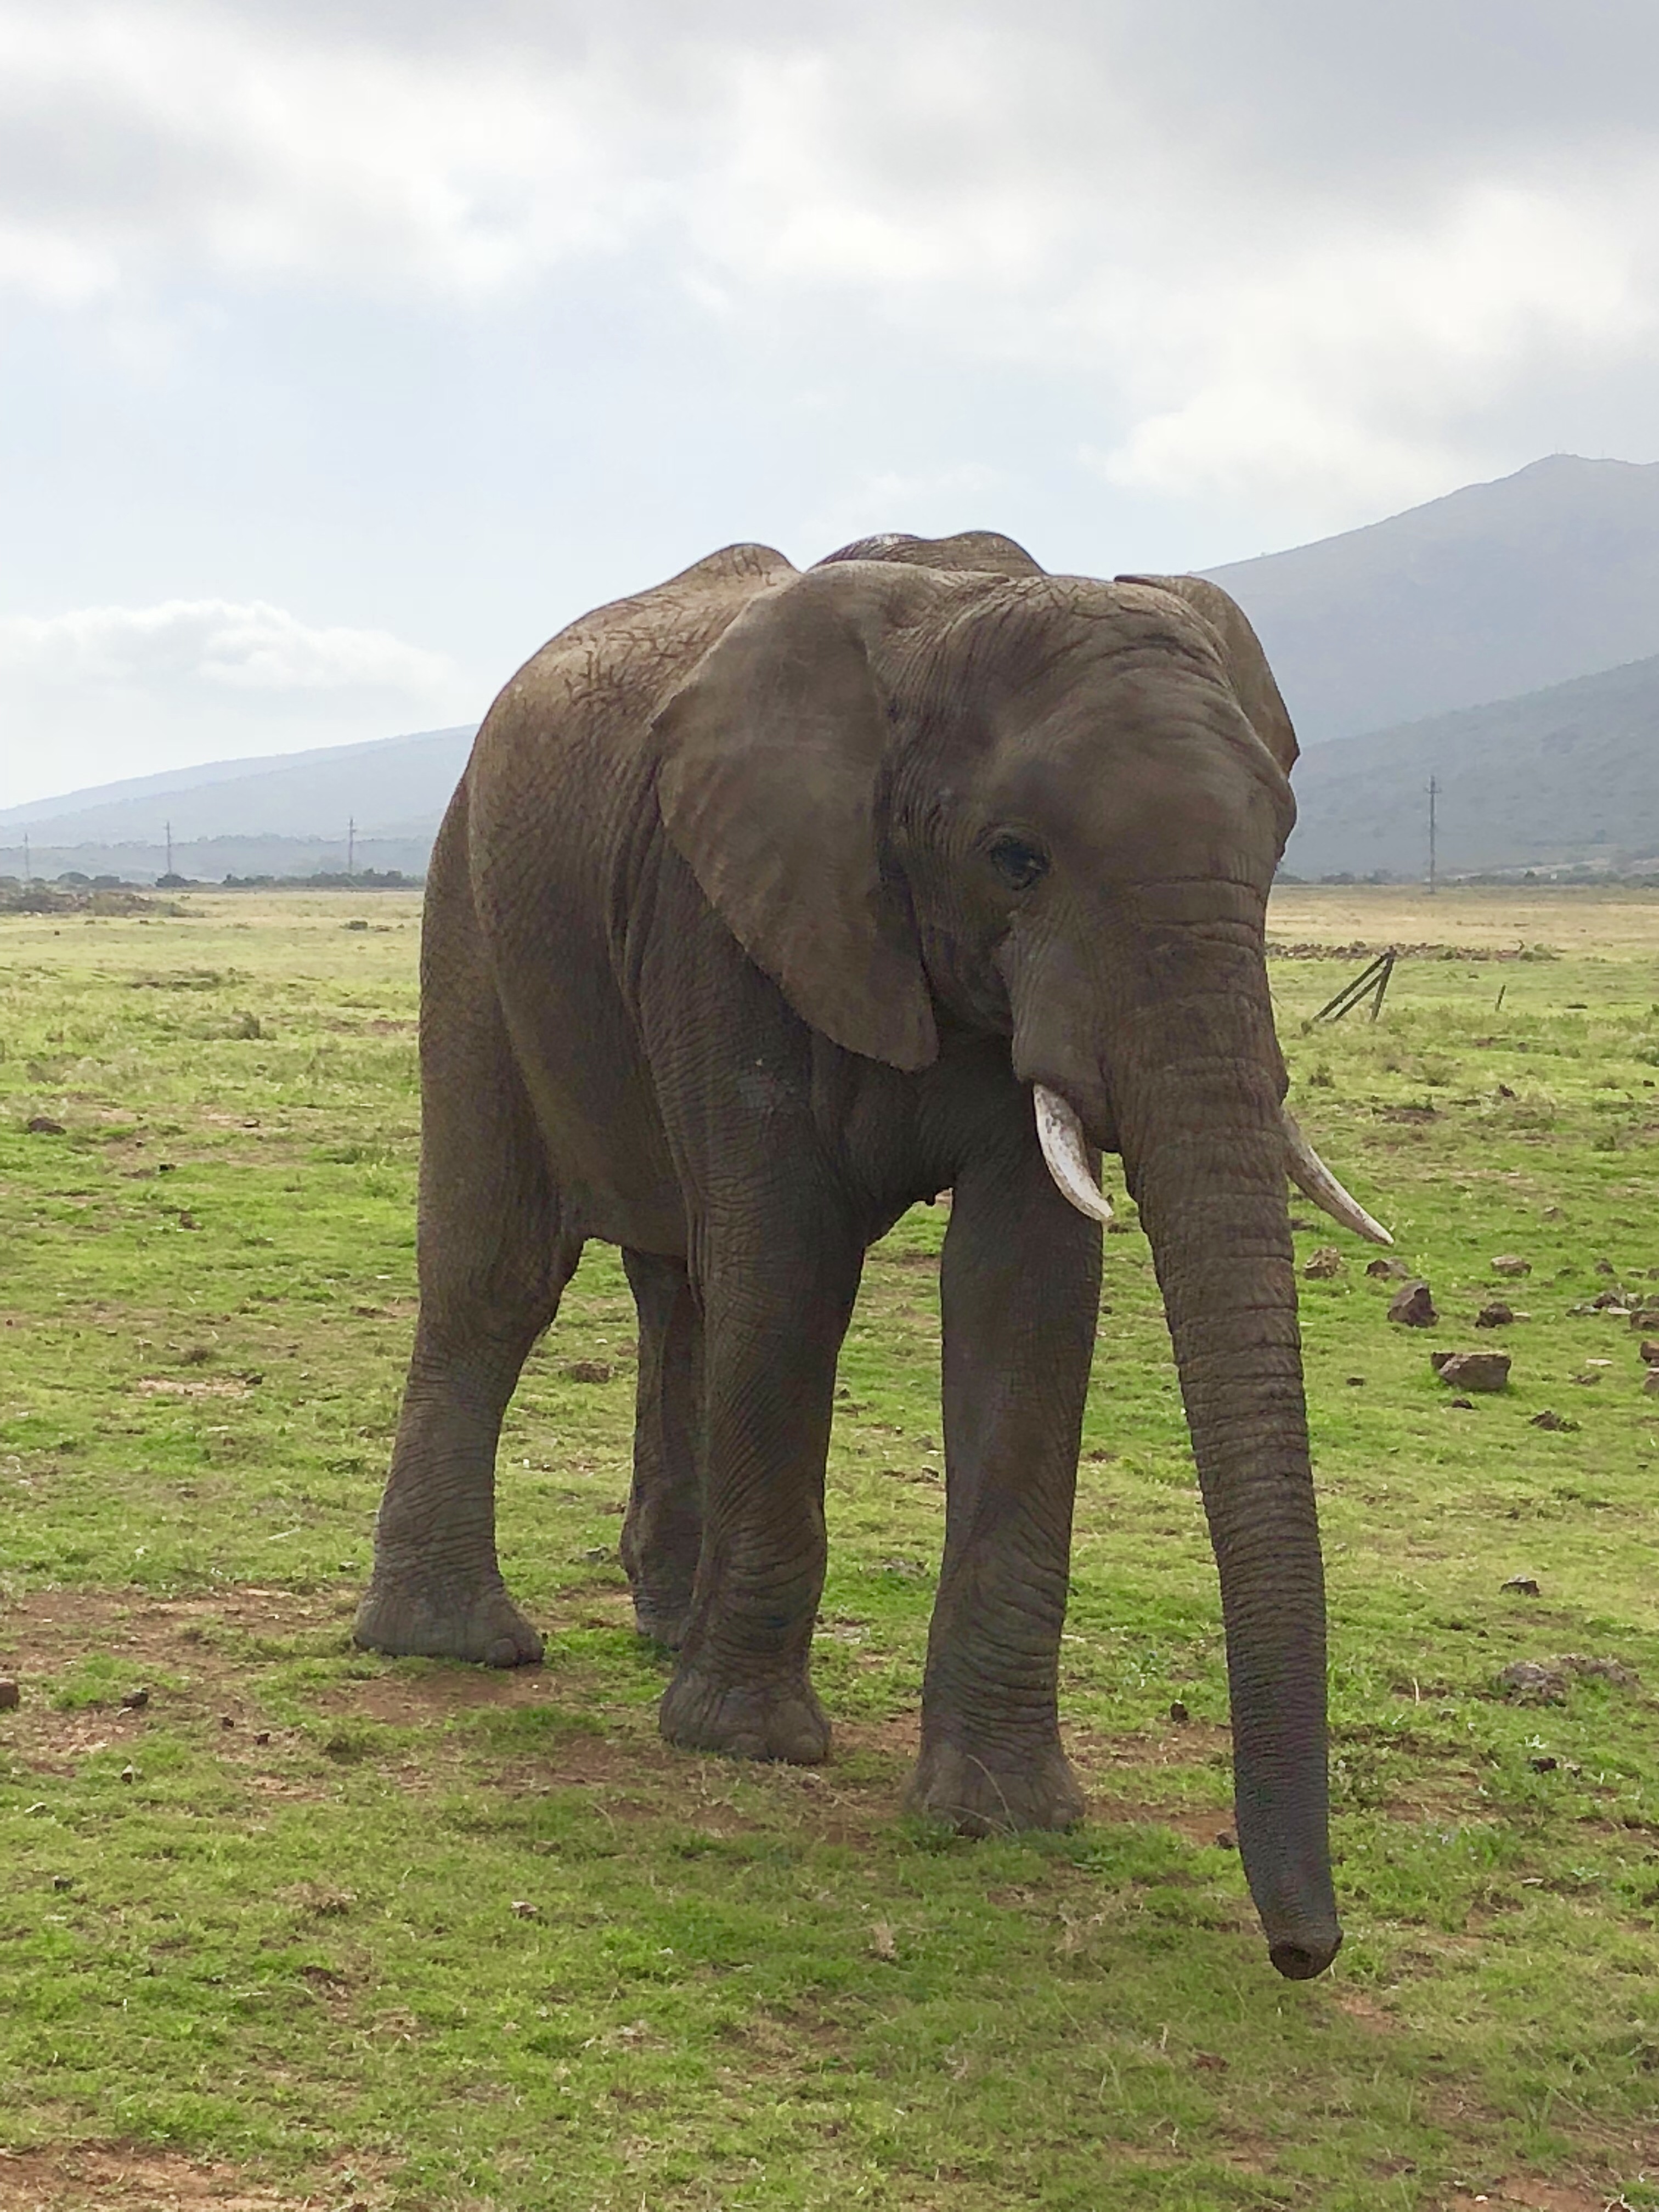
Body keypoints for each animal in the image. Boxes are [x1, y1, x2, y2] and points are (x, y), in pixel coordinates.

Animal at [354, 527, 1390, 1981]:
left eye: (1281, 844)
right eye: (1016, 859)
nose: (1305, 1952)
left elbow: (1023, 1293)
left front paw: (1001, 1817)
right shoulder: (724, 912)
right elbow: (788, 1265)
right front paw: (747, 1747)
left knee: (681, 1282)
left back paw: (663, 1622)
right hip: (474, 916)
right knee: (501, 1274)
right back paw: (460, 1648)